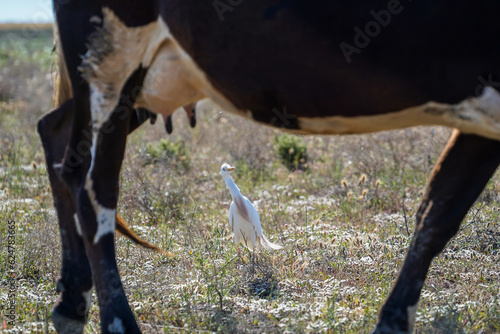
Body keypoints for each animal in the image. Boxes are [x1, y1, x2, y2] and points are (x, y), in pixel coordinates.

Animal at [39, 1, 500, 332]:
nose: (228, 171)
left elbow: (436, 212)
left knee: (59, 142)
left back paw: (72, 303)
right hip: (110, 71)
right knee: (91, 184)